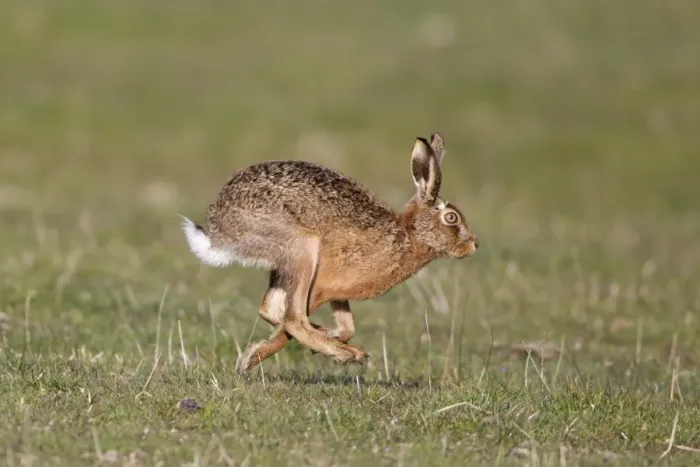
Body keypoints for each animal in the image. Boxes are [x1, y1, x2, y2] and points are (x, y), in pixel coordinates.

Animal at [181, 132, 479, 374]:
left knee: (270, 307)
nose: (474, 245)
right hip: (303, 248)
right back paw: (344, 354)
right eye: (451, 218)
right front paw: (253, 358)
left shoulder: (338, 292)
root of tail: (218, 230)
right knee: (292, 318)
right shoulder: (319, 288)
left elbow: (347, 326)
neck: (407, 234)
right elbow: (291, 323)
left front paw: (333, 336)